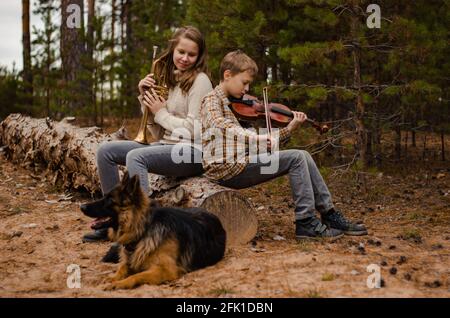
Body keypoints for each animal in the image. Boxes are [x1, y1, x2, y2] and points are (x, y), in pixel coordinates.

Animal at [79, 173, 227, 290]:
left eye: (110, 200)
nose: (82, 206)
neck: (143, 230)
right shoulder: (129, 261)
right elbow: (120, 269)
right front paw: (111, 278)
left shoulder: (165, 270)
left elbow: (136, 276)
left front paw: (119, 283)